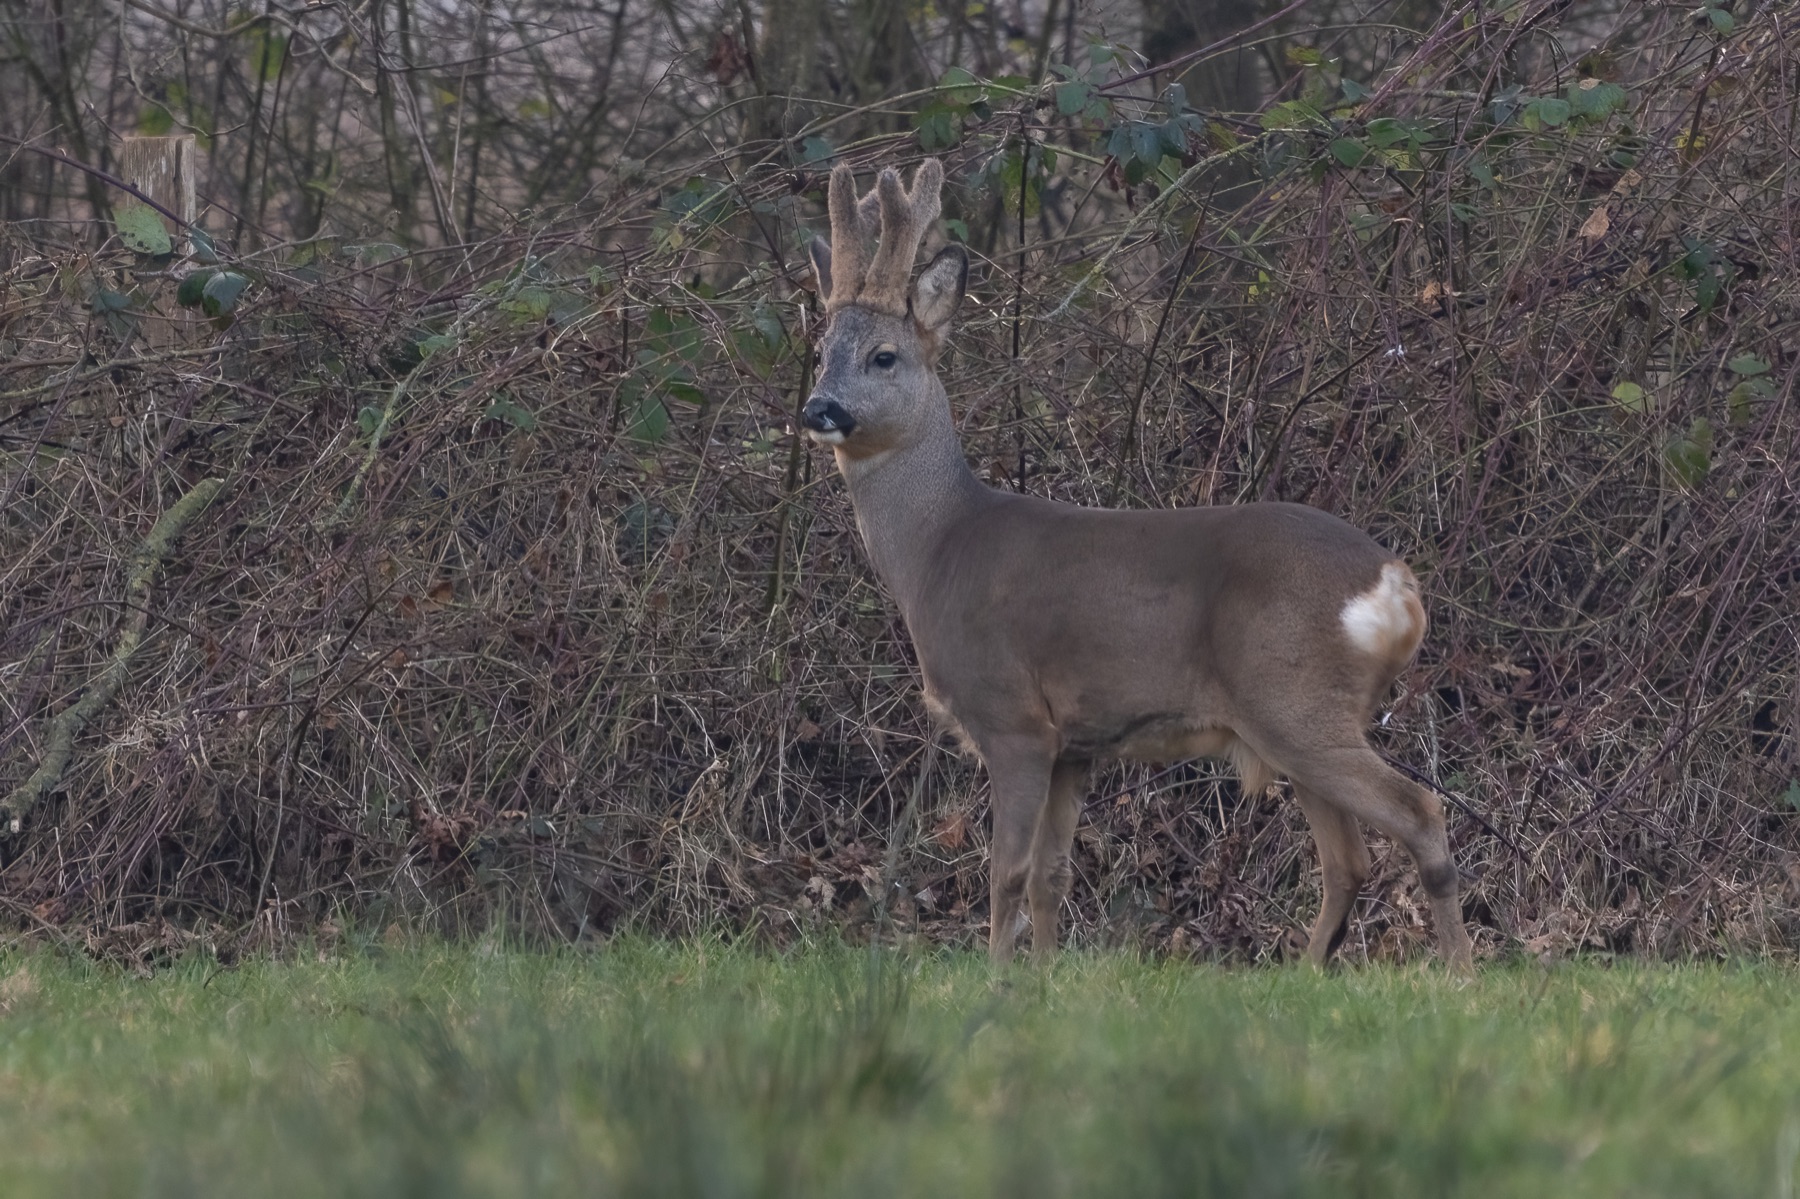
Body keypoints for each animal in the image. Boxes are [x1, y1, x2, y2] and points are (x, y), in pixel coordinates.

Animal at [797, 157, 1474, 974]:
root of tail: (1396, 587)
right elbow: (1052, 875)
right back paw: (1309, 972)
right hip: (1295, 722)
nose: (819, 408)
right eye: (820, 350)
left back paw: (1463, 973)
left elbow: (1006, 873)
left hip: (1296, 701)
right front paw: (1045, 976)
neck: (940, 547)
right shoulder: (1076, 745)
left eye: (884, 356)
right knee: (1349, 859)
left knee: (1419, 813)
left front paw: (994, 977)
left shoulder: (1013, 719)